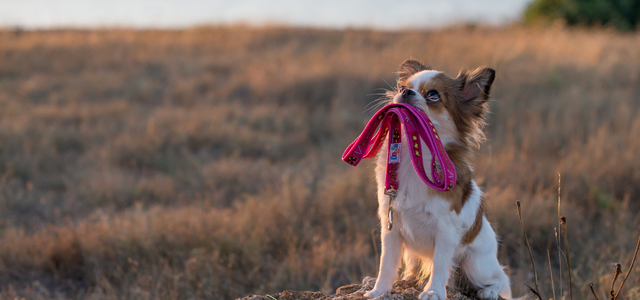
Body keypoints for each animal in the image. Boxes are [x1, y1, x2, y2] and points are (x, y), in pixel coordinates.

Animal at [364, 60, 510, 300]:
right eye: (402, 87)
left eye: (433, 95)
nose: (405, 92)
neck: (415, 159)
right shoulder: (390, 225)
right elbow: (386, 263)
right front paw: (379, 291)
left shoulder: (446, 231)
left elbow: (441, 264)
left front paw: (433, 291)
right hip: (413, 255)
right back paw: (409, 278)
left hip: (474, 263)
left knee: (502, 279)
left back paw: (488, 291)